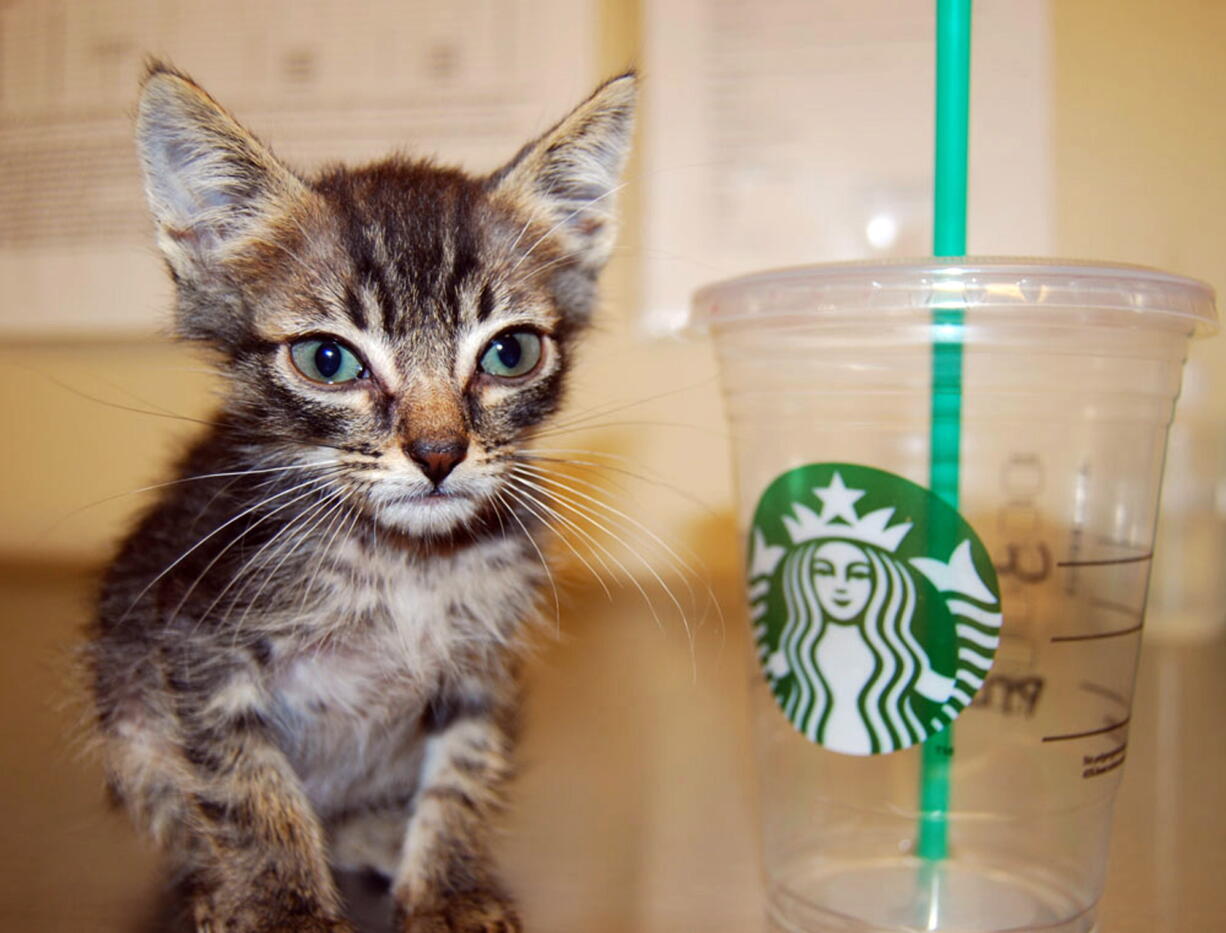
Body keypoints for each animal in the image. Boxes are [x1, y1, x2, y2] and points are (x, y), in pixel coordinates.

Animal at [88, 60, 632, 931]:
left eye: (510, 352)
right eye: (329, 359)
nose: (440, 453)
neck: (404, 563)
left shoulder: (481, 661)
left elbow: (465, 769)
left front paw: (448, 885)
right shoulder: (198, 643)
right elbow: (247, 788)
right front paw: (281, 906)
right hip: (126, 700)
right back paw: (213, 885)